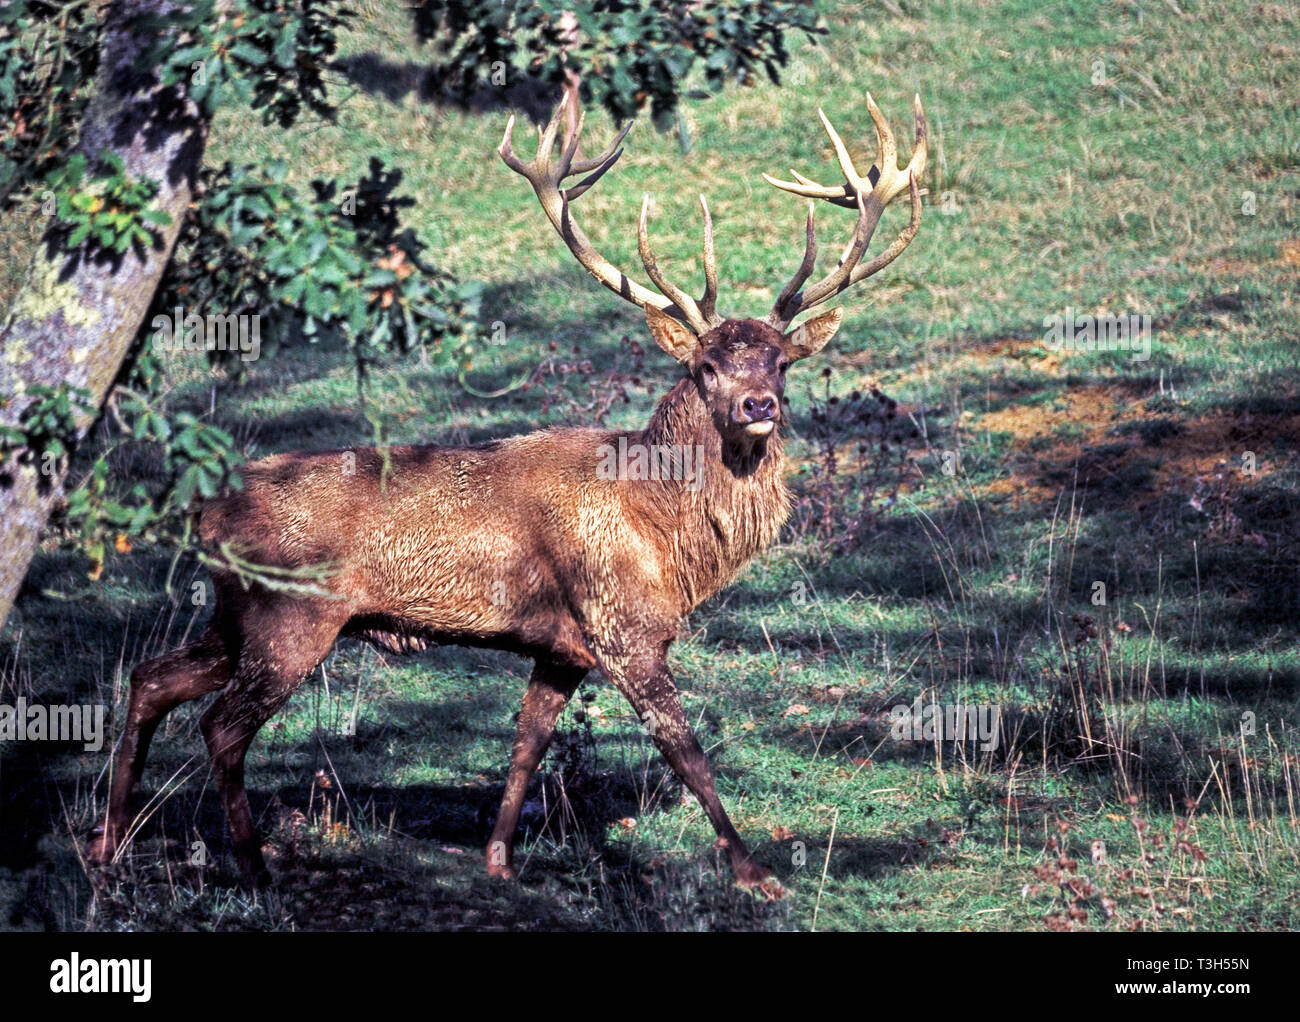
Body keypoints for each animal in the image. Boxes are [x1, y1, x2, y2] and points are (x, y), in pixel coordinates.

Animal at [87, 89, 927, 895]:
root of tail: (206, 508)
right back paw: (253, 867)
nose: (760, 406)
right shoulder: (622, 626)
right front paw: (754, 872)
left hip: (233, 615)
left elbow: (526, 745)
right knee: (222, 727)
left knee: (150, 679)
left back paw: (109, 846)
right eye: (706, 367)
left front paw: (496, 860)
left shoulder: (561, 647)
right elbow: (685, 751)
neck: (671, 539)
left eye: (781, 361)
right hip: (289, 616)